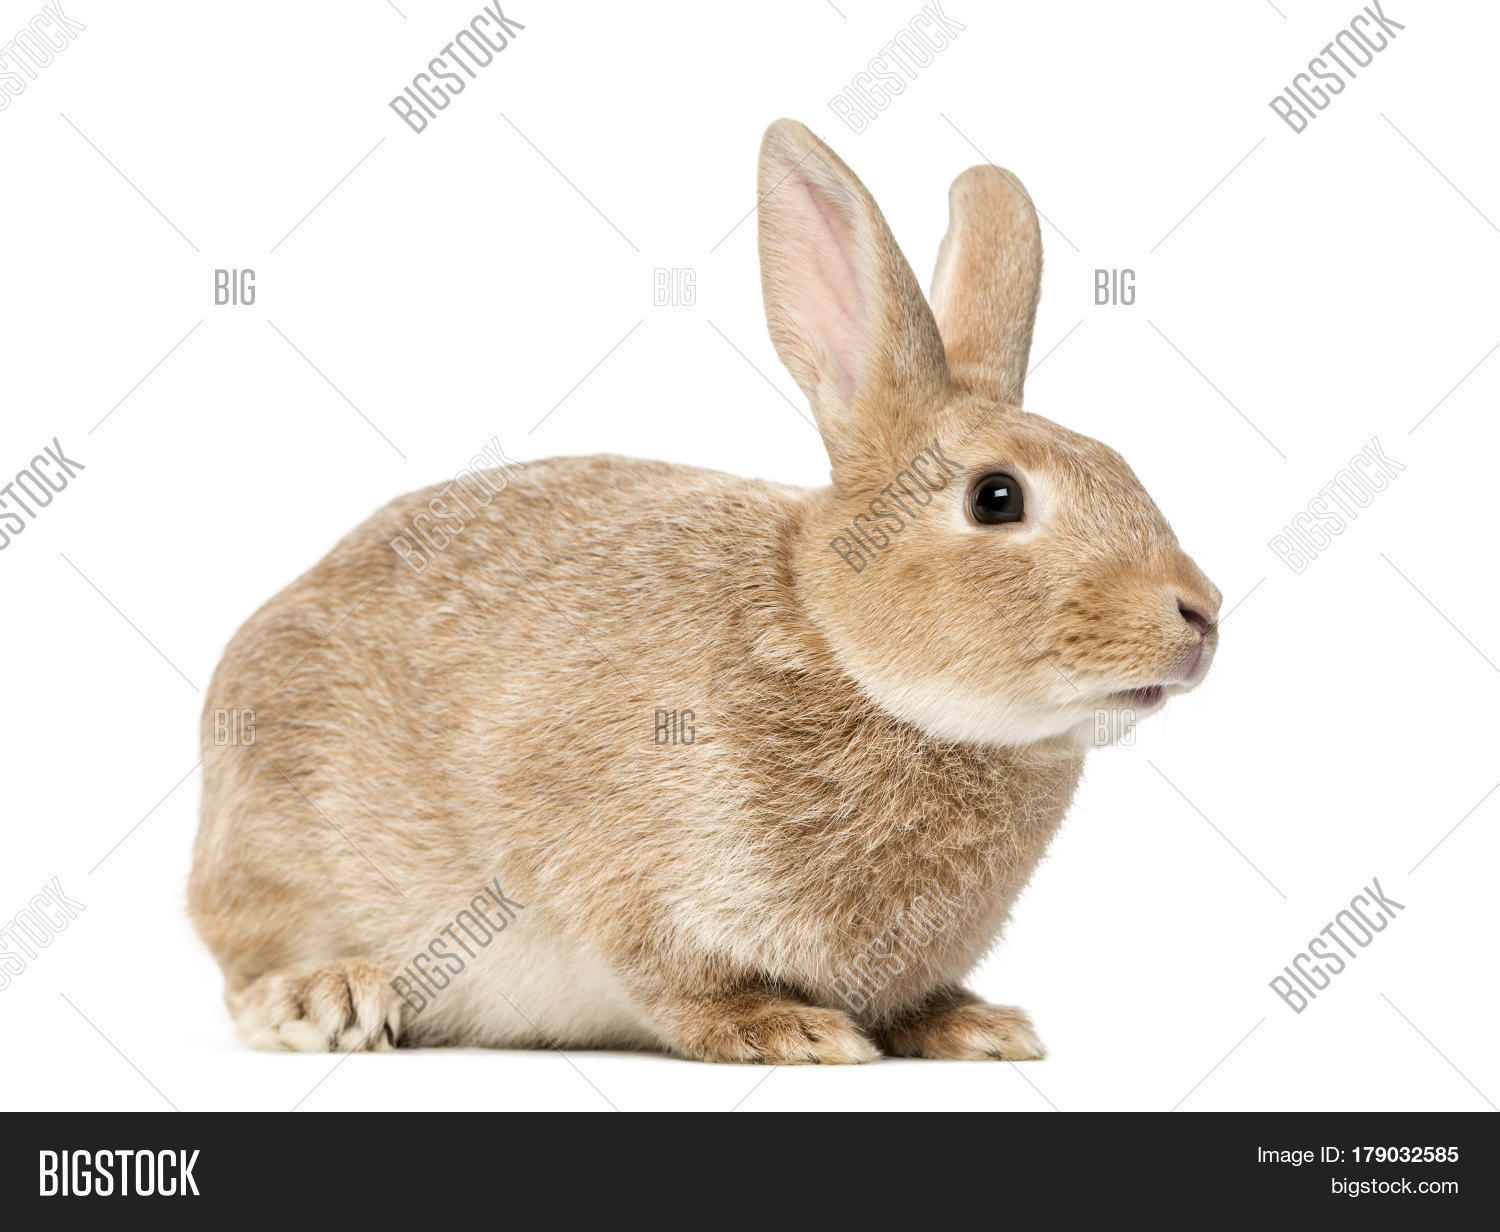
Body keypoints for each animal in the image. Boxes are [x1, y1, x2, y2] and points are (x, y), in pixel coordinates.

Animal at [189, 118, 1220, 1064]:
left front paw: (977, 1029)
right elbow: (679, 985)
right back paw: (329, 999)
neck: (839, 648)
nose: (1202, 615)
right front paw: (793, 1033)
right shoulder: (617, 881)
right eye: (996, 498)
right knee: (243, 966)